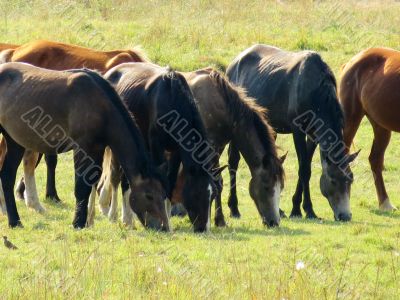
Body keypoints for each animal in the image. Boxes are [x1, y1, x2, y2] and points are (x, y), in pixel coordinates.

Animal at [0, 61, 170, 230]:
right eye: (149, 195)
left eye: (163, 194)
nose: (164, 227)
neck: (100, 106)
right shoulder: (82, 148)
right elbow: (81, 187)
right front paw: (79, 222)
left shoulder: (97, 148)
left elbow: (92, 182)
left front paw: (88, 220)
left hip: (14, 142)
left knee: (7, 176)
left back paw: (14, 221)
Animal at [94, 62, 216, 232]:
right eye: (197, 193)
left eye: (213, 196)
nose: (204, 228)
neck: (172, 100)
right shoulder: (156, 145)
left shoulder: (175, 152)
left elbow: (170, 182)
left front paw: (168, 221)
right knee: (115, 177)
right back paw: (116, 215)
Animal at [227, 45, 360, 223]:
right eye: (333, 180)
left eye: (350, 179)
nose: (345, 216)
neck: (315, 91)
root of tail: (232, 64)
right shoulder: (298, 131)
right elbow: (304, 169)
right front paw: (306, 210)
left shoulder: (314, 135)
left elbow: (306, 167)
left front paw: (297, 207)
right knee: (233, 162)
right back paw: (234, 208)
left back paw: (279, 210)